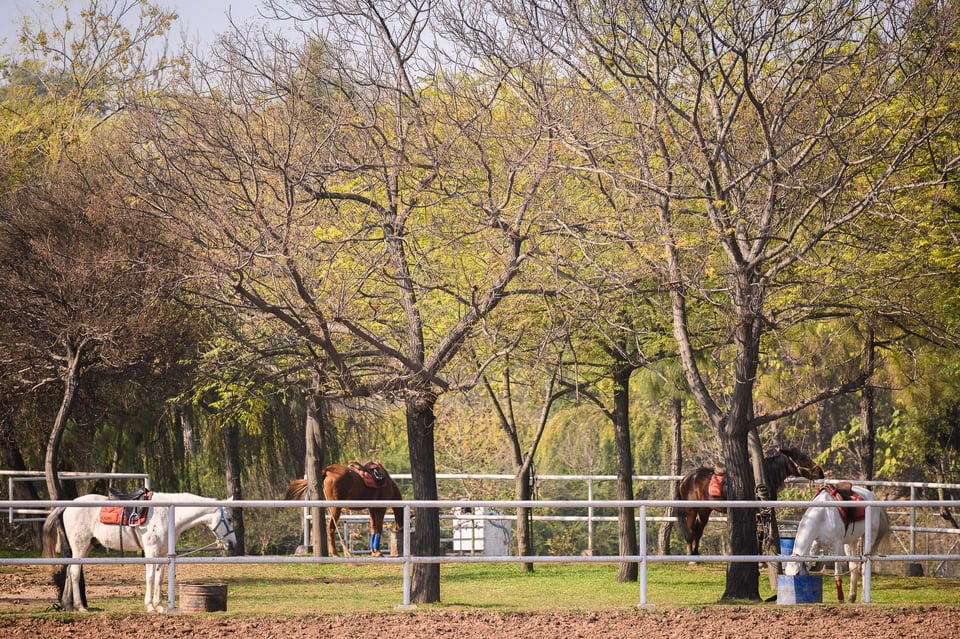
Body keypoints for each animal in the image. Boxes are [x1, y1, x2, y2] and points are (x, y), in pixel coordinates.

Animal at [43, 492, 240, 612]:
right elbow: (150, 577)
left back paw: (68, 605)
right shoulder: (151, 551)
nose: (232, 544)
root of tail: (68, 505)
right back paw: (81, 607)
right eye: (230, 518)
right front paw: (150, 606)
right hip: (80, 546)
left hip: (85, 547)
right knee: (75, 573)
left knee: (70, 571)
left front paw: (160, 606)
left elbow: (160, 578)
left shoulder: (162, 553)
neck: (168, 513)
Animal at [676, 448, 824, 556]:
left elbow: (761, 533)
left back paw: (696, 554)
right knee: (690, 530)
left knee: (698, 530)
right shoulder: (757, 512)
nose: (820, 472)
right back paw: (691, 556)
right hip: (691, 510)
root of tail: (686, 478)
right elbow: (759, 533)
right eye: (801, 458)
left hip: (704, 510)